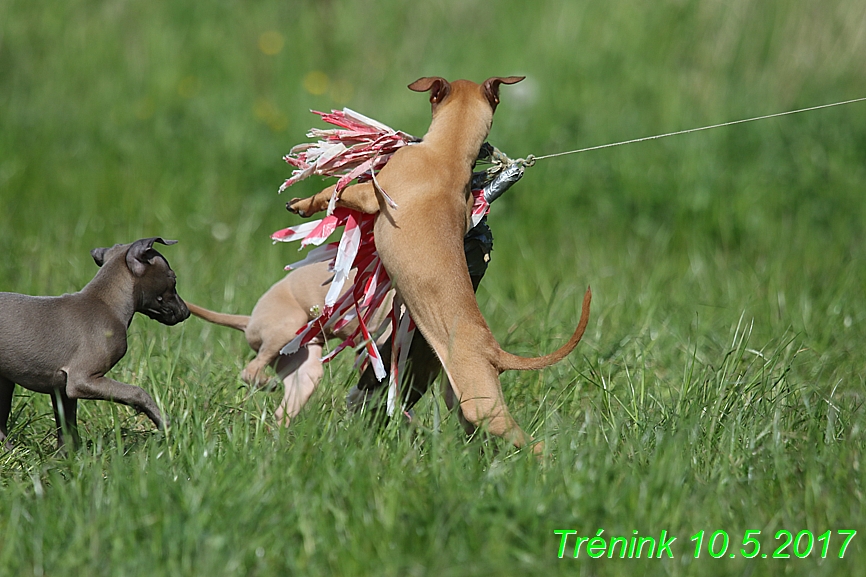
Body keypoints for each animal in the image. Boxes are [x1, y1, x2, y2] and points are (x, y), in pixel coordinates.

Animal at [0, 236, 189, 448]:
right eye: (173, 278)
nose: (187, 311)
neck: (105, 304)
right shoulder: (81, 380)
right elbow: (137, 392)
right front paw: (164, 423)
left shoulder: (62, 390)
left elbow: (68, 430)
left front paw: (68, 455)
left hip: (4, 381)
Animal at [286, 77, 592, 454]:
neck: (446, 154)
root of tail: (494, 350)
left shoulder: (373, 195)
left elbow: (337, 191)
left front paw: (304, 203)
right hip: (458, 397)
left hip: (482, 407)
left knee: (527, 441)